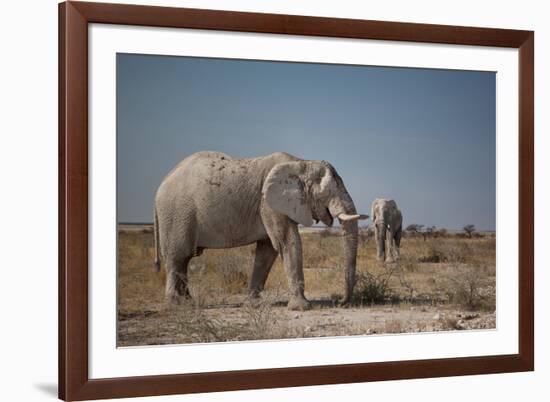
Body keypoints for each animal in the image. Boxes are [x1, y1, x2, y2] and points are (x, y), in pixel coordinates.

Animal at [153, 151, 368, 310]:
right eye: (327, 193)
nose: (340, 302)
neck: (301, 163)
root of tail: (162, 183)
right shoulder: (269, 203)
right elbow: (287, 242)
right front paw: (301, 307)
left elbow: (267, 250)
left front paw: (253, 304)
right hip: (176, 213)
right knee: (177, 257)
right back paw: (176, 306)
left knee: (184, 260)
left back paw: (188, 302)